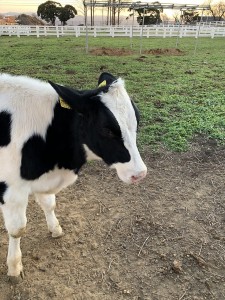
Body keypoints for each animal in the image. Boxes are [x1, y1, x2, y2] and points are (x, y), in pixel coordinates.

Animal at [0, 71, 147, 278]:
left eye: (137, 121)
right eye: (106, 129)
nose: (140, 173)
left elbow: (49, 204)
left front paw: (55, 228)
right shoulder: (11, 189)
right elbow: (18, 229)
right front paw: (14, 266)